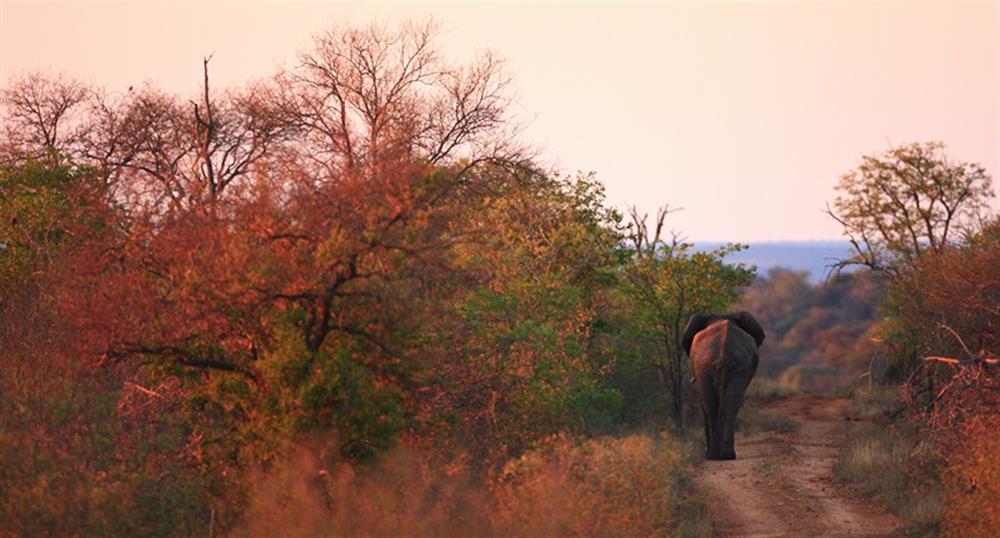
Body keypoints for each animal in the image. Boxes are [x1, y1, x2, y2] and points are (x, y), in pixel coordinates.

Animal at [680, 310, 764, 456]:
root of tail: (723, 354)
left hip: (711, 367)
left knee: (713, 404)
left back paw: (715, 455)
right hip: (730, 366)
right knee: (728, 403)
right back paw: (723, 455)